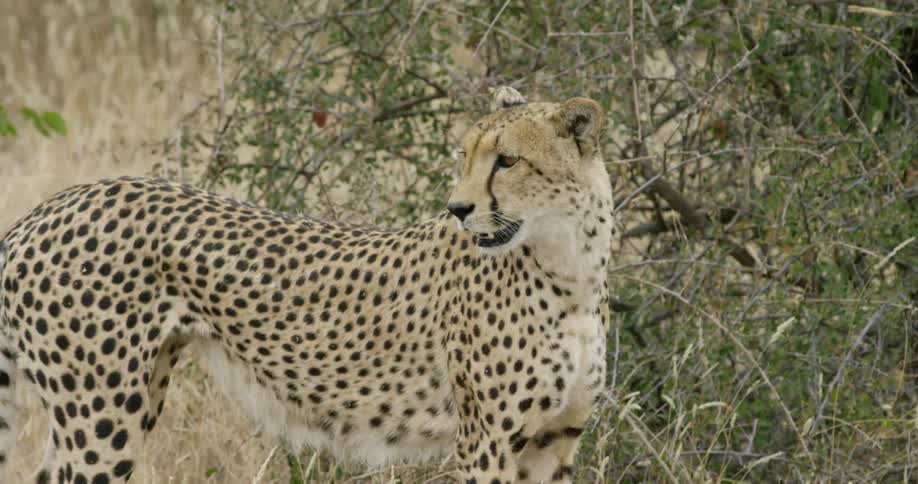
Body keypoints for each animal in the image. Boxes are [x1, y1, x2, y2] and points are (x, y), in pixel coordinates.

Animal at [0, 86, 614, 484]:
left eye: (508, 160)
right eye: (464, 156)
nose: (457, 208)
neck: (571, 270)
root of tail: (41, 212)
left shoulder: (554, 440)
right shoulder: (486, 443)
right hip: (101, 416)